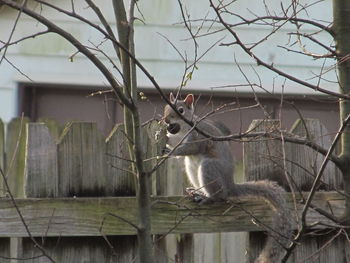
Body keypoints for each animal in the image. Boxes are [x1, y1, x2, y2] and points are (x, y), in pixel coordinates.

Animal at [163, 94, 292, 262]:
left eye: (180, 110)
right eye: (165, 107)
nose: (166, 120)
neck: (185, 128)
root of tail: (231, 185)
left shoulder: (198, 137)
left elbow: (190, 148)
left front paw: (170, 149)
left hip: (209, 168)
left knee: (220, 197)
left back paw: (208, 198)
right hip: (191, 168)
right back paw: (197, 192)